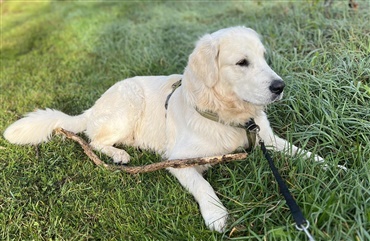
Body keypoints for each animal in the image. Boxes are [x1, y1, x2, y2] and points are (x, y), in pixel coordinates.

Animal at [3, 26, 324, 233]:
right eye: (242, 62)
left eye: (263, 58)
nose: (280, 86)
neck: (224, 114)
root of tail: (93, 107)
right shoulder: (179, 160)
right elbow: (203, 185)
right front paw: (216, 214)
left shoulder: (266, 138)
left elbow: (299, 151)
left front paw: (328, 164)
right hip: (128, 106)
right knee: (94, 140)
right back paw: (118, 155)